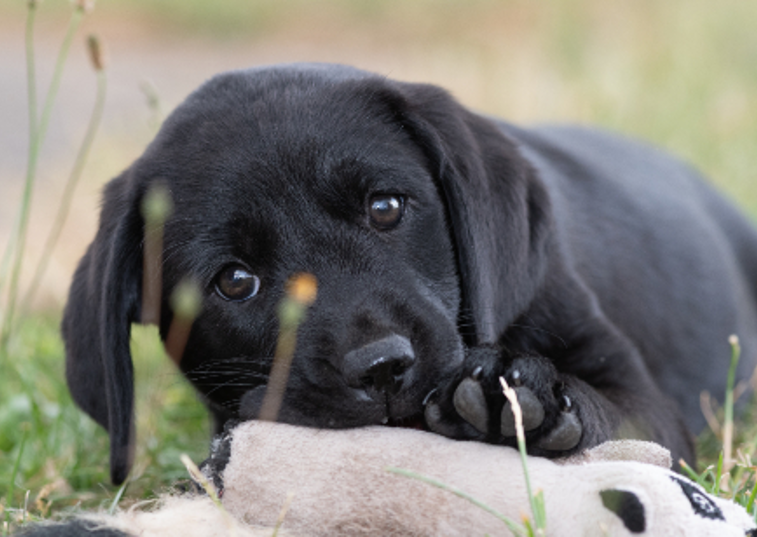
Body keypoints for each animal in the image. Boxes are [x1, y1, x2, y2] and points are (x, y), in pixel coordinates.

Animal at [62, 62, 756, 482]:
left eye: (385, 208)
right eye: (234, 281)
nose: (381, 369)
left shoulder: (645, 401)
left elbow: (606, 411)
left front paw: (520, 396)